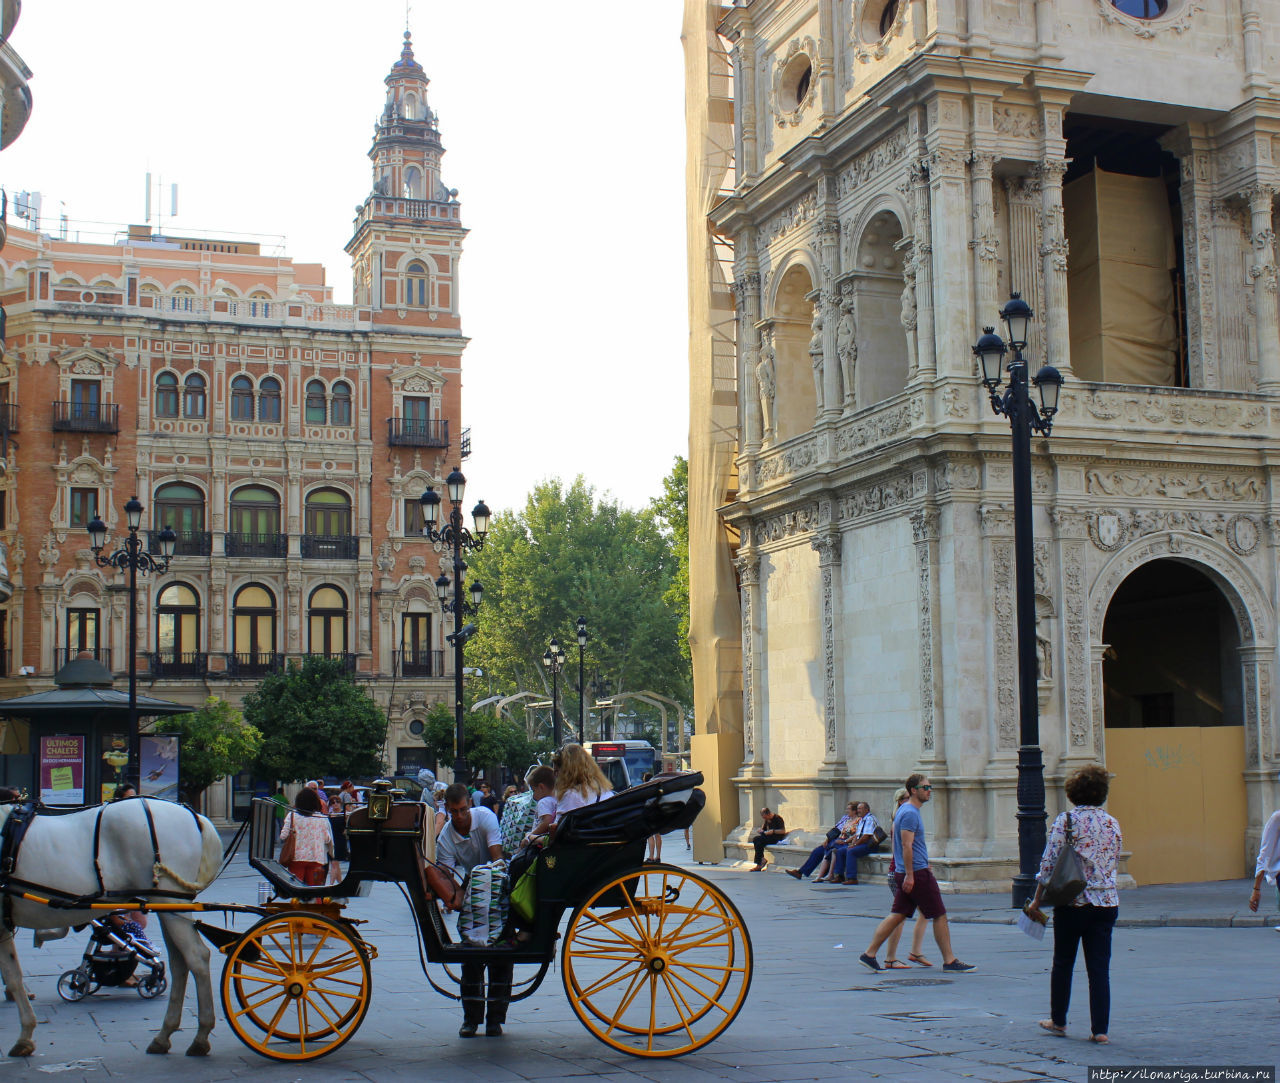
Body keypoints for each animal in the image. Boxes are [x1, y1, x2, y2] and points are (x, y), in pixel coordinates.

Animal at [0, 798, 222, 1059]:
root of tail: (192, 813)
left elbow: (12, 977)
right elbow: (14, 976)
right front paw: (25, 1036)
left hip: (172, 900)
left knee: (197, 958)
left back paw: (201, 1036)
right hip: (168, 905)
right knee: (180, 963)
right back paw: (164, 1035)